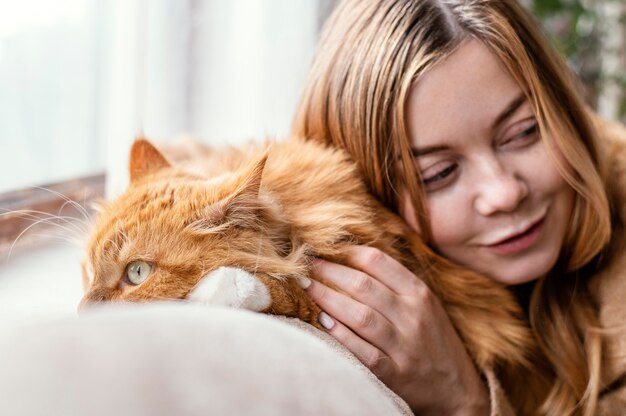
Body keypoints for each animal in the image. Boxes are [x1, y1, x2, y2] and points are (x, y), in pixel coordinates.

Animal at [79, 136, 536, 384]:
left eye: (137, 273)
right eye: (87, 271)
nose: (83, 312)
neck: (294, 222)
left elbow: (286, 291)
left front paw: (220, 288)